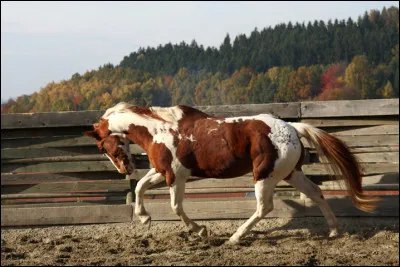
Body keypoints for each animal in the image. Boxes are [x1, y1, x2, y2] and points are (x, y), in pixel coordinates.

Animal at [83, 102, 378, 245]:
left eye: (101, 146)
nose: (125, 168)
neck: (160, 131)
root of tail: (293, 128)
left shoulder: (176, 176)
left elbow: (176, 206)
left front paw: (200, 230)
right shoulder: (162, 172)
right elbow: (140, 187)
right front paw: (144, 218)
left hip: (265, 176)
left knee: (264, 207)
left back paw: (236, 237)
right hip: (291, 173)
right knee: (316, 193)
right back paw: (334, 231)